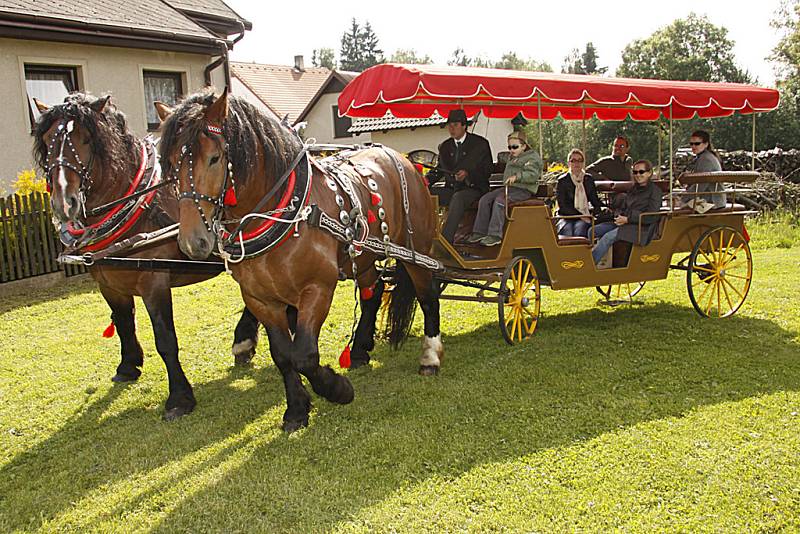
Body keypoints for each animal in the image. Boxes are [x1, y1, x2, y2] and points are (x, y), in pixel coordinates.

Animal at [33, 95, 260, 422]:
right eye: (48, 141)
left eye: (87, 139)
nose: (65, 202)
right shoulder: (108, 282)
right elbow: (123, 322)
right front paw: (128, 366)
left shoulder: (154, 281)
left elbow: (165, 340)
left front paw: (179, 398)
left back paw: (244, 340)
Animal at [158, 90, 444, 434]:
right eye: (170, 164)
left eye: (214, 158)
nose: (193, 241)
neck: (280, 212)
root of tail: (403, 158)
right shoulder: (260, 299)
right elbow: (283, 355)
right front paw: (296, 409)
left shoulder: (317, 288)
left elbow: (305, 354)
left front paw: (337, 389)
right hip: (363, 256)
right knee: (372, 292)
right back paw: (360, 350)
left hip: (417, 251)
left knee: (427, 297)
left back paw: (430, 357)